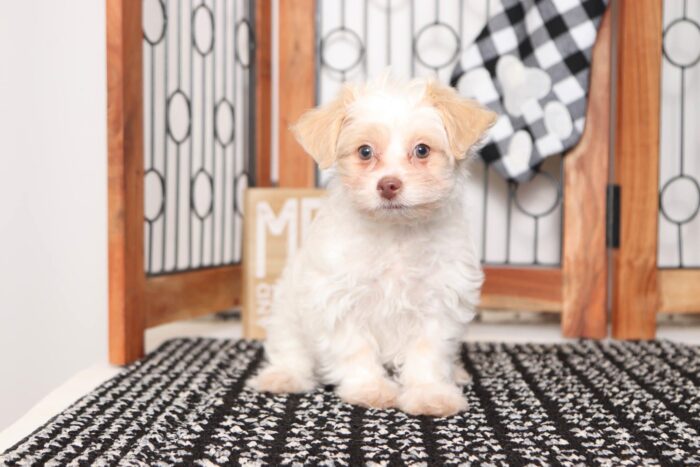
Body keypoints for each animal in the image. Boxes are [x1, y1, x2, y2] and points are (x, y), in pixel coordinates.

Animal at [249, 77, 494, 420]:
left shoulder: (439, 301)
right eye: (365, 151)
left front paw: (430, 393)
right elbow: (356, 350)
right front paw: (370, 389)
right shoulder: (338, 300)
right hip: (286, 313)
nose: (388, 185)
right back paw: (284, 376)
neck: (395, 234)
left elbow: (428, 352)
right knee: (290, 350)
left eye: (422, 150)